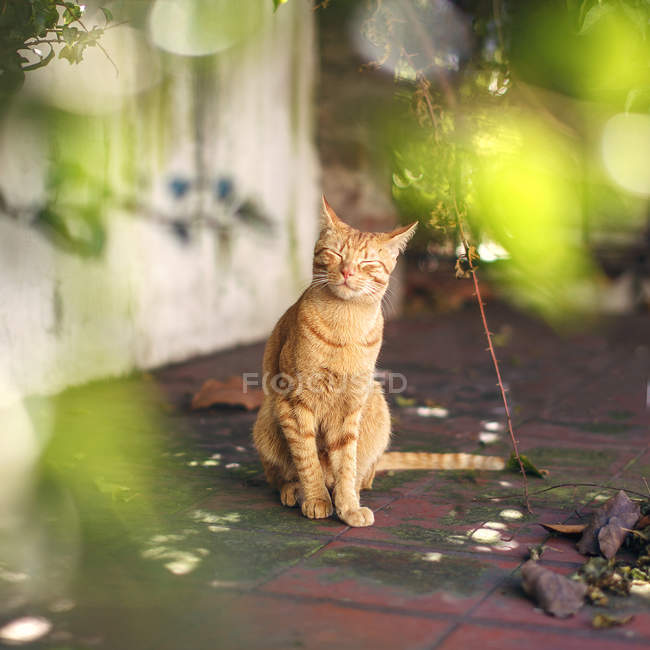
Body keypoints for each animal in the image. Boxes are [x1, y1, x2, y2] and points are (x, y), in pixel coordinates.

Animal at [252, 195, 502, 524]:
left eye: (367, 263)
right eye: (335, 254)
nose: (347, 272)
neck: (344, 326)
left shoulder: (349, 407)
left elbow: (346, 464)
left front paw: (347, 506)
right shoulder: (294, 402)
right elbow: (307, 459)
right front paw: (317, 498)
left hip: (376, 402)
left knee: (362, 473)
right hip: (267, 419)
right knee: (282, 474)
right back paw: (294, 490)